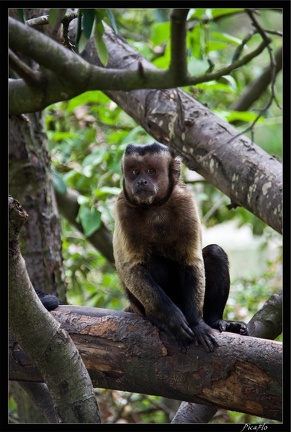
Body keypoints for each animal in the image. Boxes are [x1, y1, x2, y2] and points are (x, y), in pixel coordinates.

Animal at [114, 142, 249, 352]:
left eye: (151, 171)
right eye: (135, 172)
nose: (142, 181)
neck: (155, 207)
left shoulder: (185, 200)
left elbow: (192, 260)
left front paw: (197, 324)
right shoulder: (123, 207)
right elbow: (130, 268)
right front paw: (172, 320)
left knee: (214, 253)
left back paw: (214, 320)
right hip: (140, 306)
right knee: (152, 264)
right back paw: (158, 319)